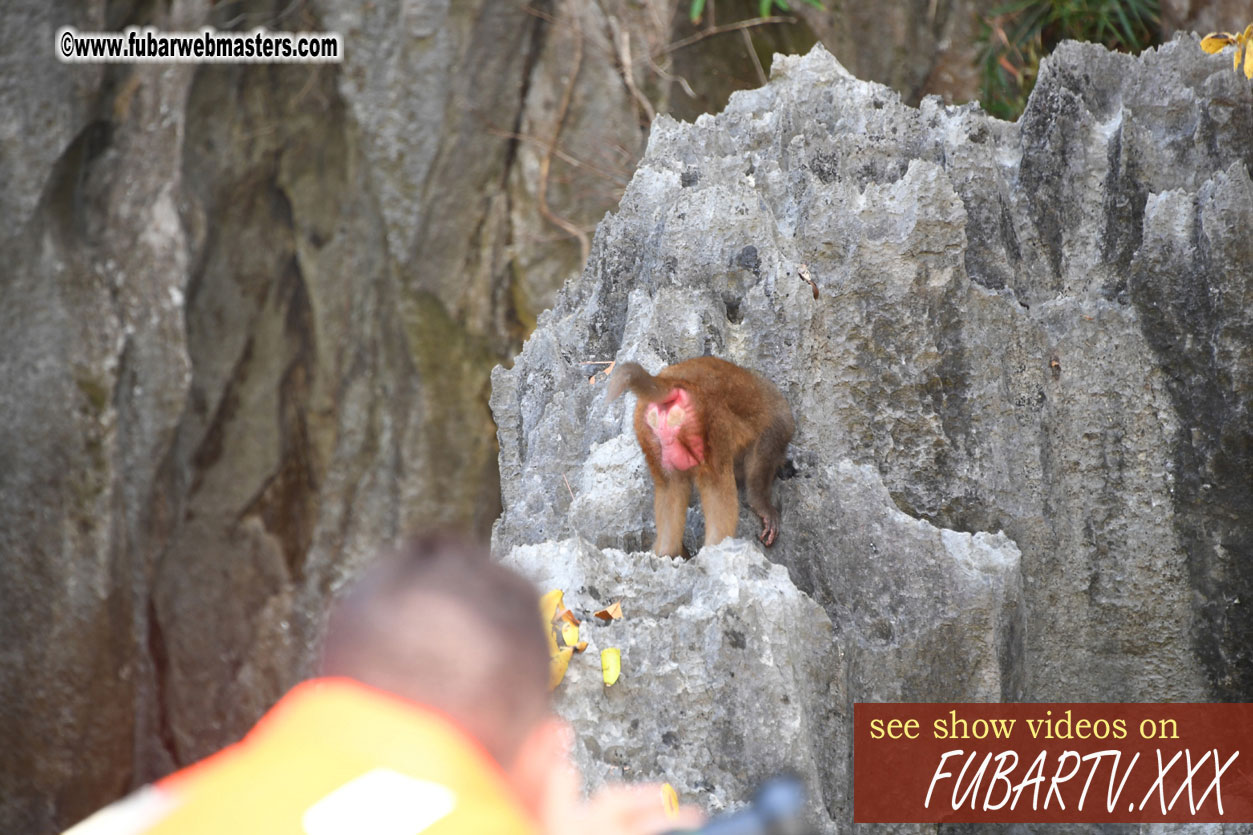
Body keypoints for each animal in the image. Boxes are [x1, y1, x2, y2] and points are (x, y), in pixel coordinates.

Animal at [603, 353, 791, 556]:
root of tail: (670, 381)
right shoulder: (776, 432)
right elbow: (757, 472)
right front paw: (763, 507)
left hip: (648, 431)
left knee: (670, 484)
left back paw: (666, 550)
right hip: (709, 423)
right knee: (717, 484)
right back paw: (716, 547)